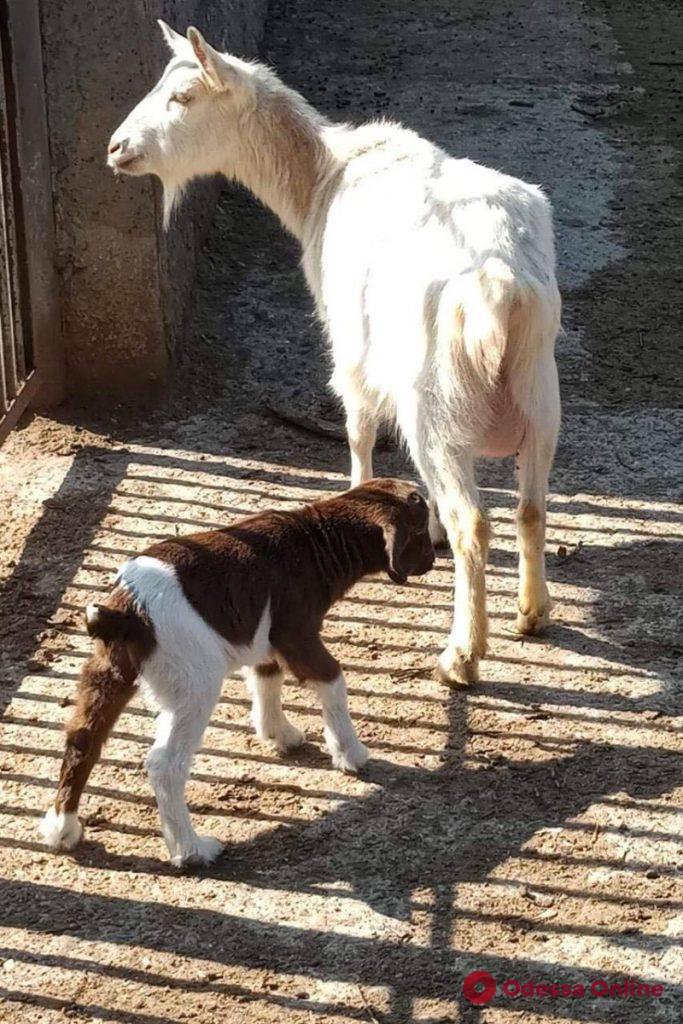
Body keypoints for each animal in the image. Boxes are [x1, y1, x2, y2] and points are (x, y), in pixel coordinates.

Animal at [40, 477, 432, 864]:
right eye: (423, 528)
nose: (430, 561)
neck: (315, 540)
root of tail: (124, 612)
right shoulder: (296, 631)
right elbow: (332, 678)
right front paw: (351, 754)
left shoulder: (264, 637)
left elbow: (266, 677)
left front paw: (278, 733)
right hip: (193, 680)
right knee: (166, 764)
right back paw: (192, 851)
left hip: (109, 670)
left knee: (82, 739)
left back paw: (62, 828)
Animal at [108, 24, 561, 684]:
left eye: (185, 97)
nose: (116, 148)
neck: (323, 173)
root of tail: (502, 288)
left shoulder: (349, 340)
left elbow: (358, 430)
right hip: (540, 396)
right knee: (531, 508)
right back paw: (532, 613)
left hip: (438, 408)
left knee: (473, 522)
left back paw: (462, 654)